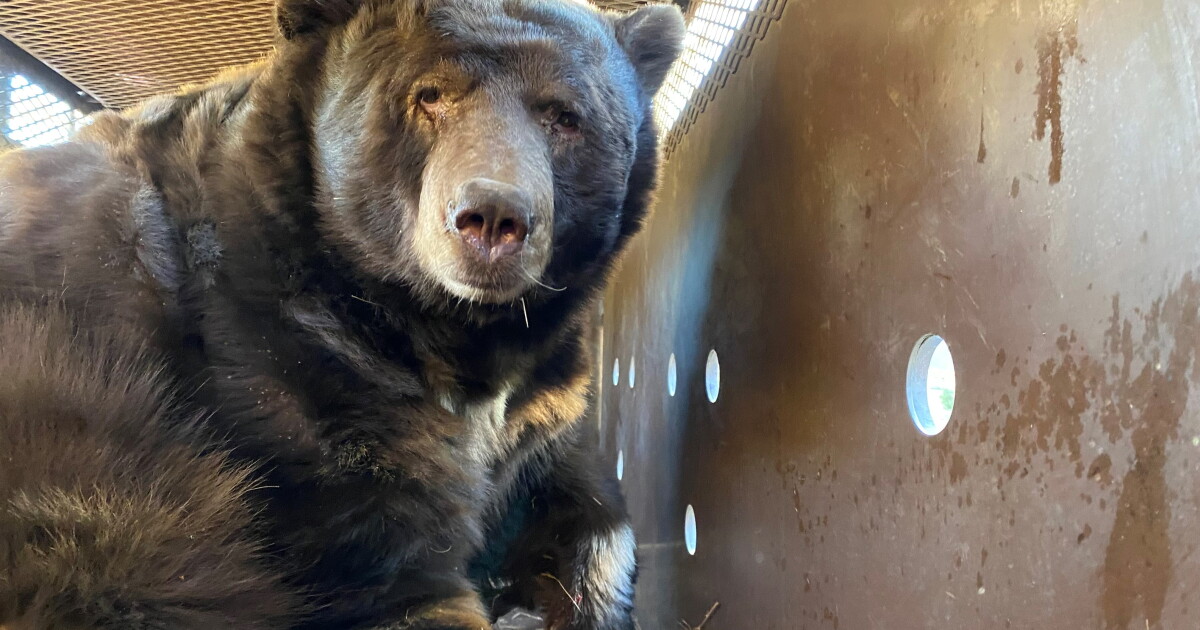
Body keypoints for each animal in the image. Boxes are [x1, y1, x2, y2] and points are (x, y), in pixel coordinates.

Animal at [0, 0, 685, 629]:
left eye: (565, 116)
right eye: (429, 95)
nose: (493, 217)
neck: (453, 329)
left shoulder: (546, 402)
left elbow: (586, 495)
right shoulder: (292, 368)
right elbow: (388, 562)